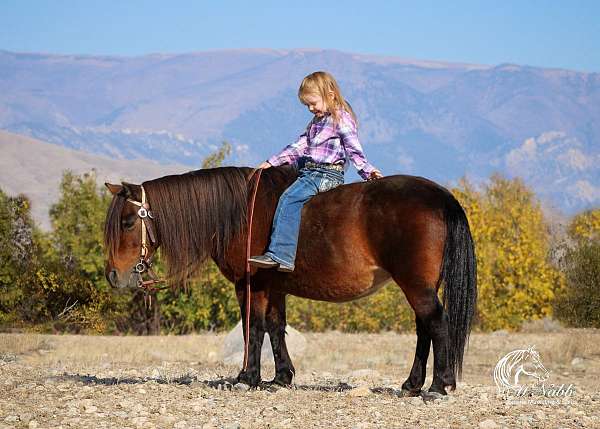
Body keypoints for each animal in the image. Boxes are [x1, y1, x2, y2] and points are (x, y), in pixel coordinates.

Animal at [104, 165, 478, 398]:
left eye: (127, 222)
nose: (113, 275)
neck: (240, 214)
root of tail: (441, 197)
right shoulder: (274, 287)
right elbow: (275, 326)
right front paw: (281, 377)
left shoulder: (250, 284)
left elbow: (253, 328)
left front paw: (247, 377)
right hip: (421, 284)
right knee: (423, 329)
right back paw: (412, 383)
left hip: (416, 285)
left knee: (436, 324)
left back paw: (438, 386)